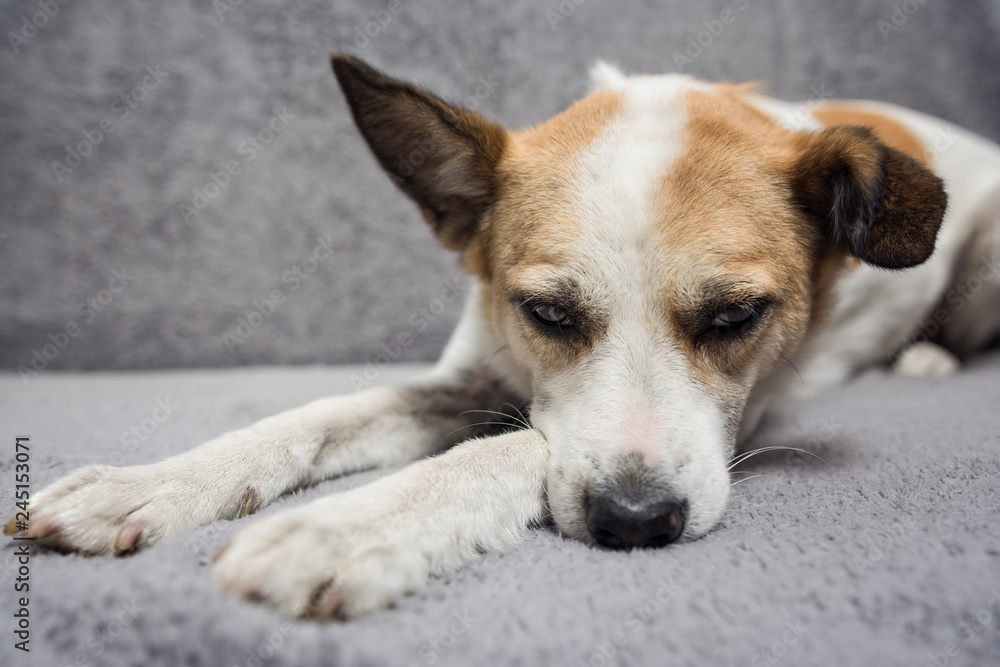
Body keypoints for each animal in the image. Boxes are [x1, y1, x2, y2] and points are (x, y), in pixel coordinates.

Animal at [9, 56, 1000, 620]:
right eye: (550, 315)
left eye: (734, 319)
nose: (635, 523)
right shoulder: (473, 373)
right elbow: (315, 416)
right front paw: (151, 485)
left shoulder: (744, 413)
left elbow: (517, 447)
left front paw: (344, 527)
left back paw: (927, 353)